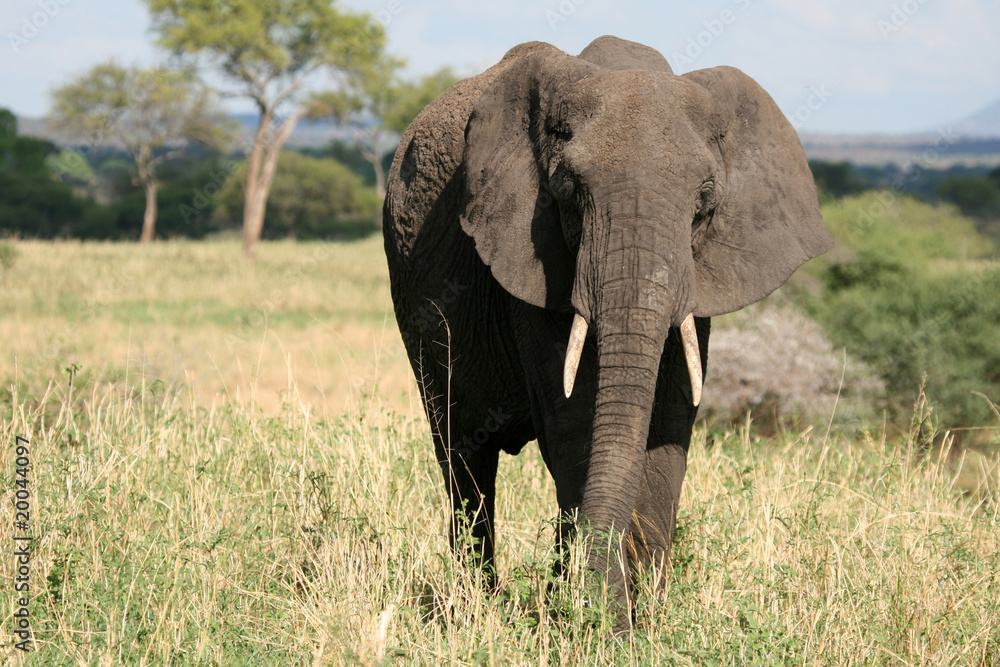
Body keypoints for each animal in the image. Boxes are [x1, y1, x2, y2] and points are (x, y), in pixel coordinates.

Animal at [382, 35, 832, 630]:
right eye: (569, 196)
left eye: (704, 206)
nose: (613, 614)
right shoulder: (534, 257)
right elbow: (575, 424)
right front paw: (601, 624)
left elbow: (669, 424)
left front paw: (644, 622)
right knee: (464, 455)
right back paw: (477, 606)